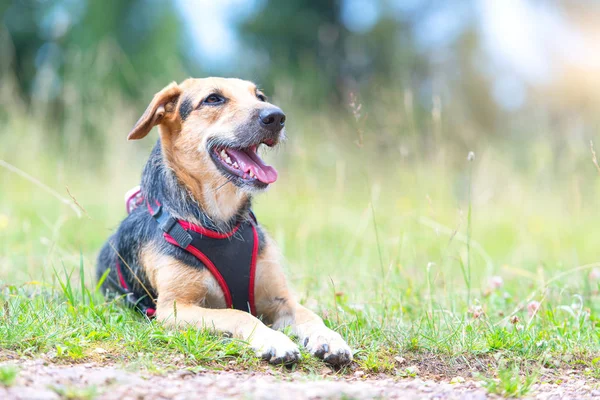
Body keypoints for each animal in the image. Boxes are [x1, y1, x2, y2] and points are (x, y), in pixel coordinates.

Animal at [96, 77, 354, 366]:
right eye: (213, 99)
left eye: (260, 97)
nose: (276, 117)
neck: (221, 222)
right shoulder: (174, 308)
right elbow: (239, 314)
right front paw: (274, 340)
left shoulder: (279, 299)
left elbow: (311, 315)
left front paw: (329, 338)